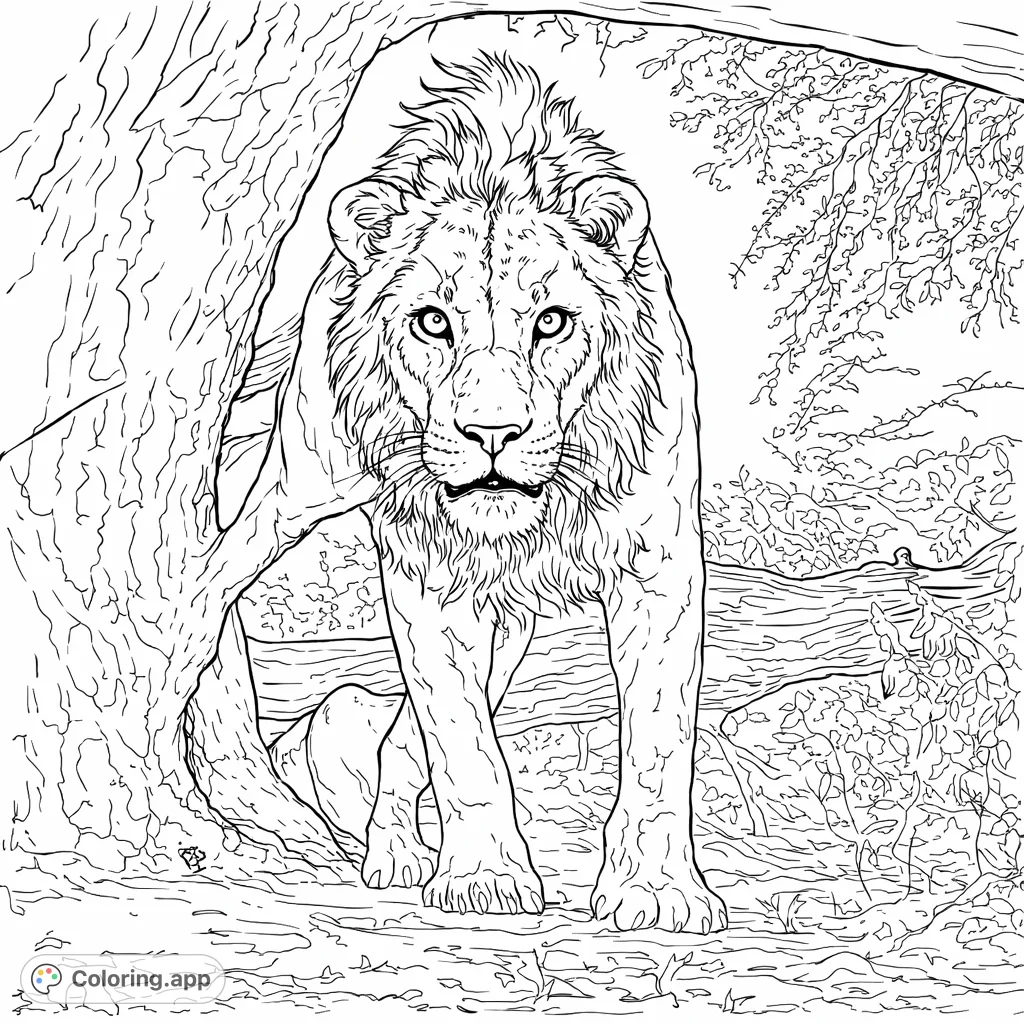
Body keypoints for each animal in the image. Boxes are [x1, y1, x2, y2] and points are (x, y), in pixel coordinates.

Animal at [310, 53, 726, 934]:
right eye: (433, 323)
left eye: (553, 323)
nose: (492, 434)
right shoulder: (427, 581)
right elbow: (462, 743)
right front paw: (484, 880)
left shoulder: (660, 568)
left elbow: (659, 738)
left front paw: (658, 892)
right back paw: (394, 855)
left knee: (400, 737)